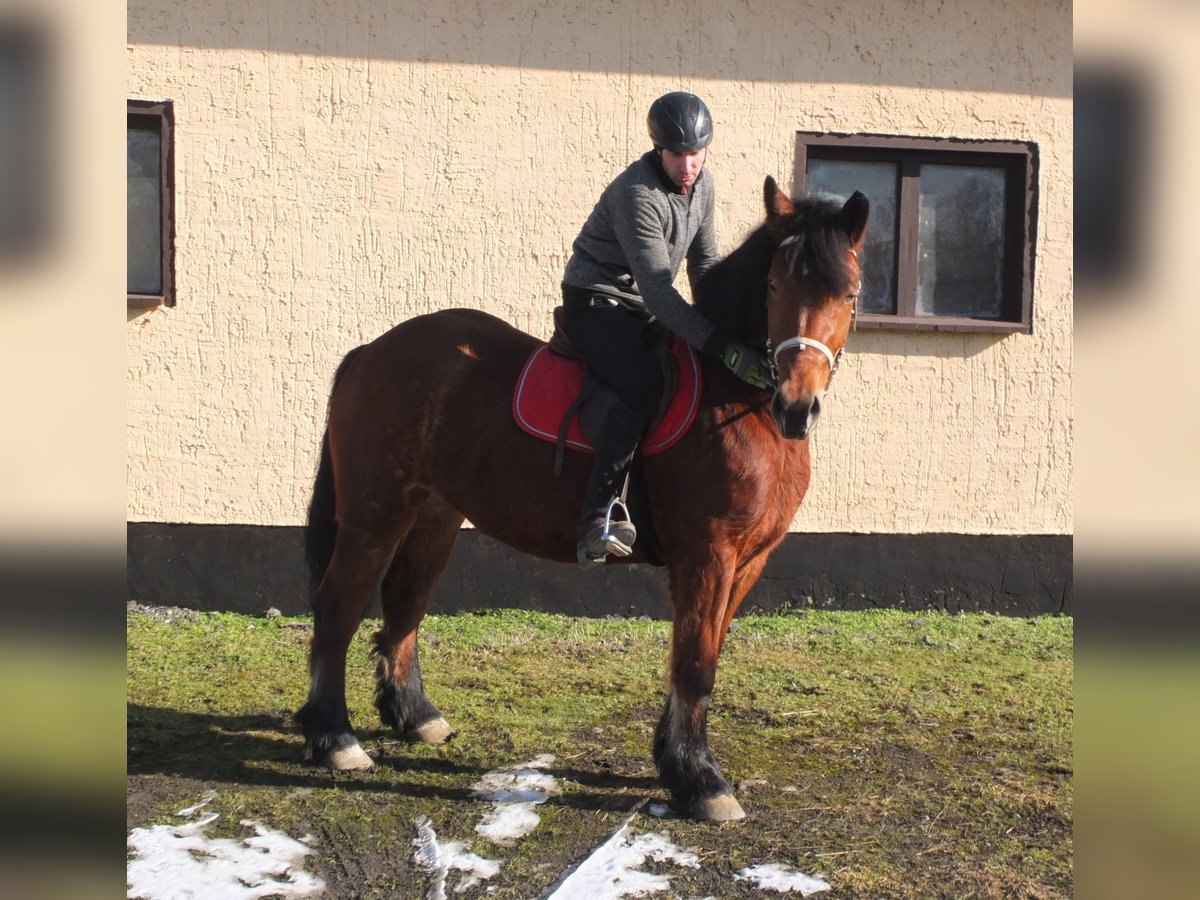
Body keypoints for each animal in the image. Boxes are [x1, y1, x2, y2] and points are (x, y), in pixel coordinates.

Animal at [297, 177, 864, 825]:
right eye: (772, 286)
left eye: (849, 294)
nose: (797, 406)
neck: (735, 396)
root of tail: (370, 351)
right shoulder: (708, 554)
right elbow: (695, 664)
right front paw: (701, 782)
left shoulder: (748, 561)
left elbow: (702, 656)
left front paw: (675, 762)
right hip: (375, 512)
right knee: (338, 606)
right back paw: (335, 738)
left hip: (433, 515)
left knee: (404, 605)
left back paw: (415, 716)